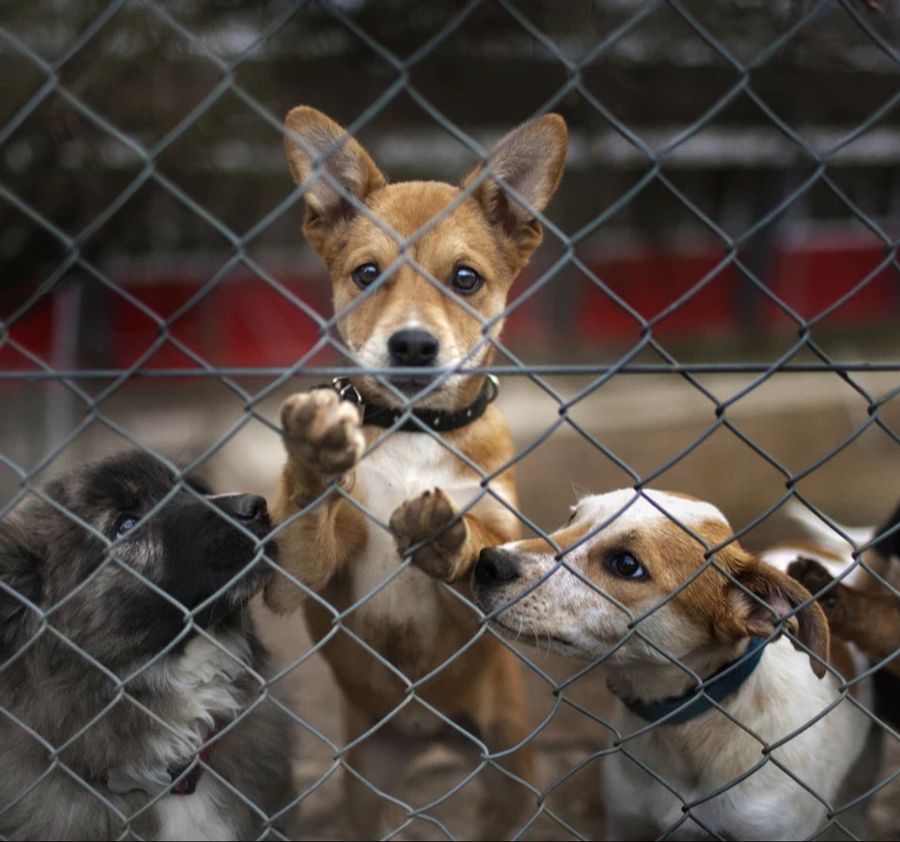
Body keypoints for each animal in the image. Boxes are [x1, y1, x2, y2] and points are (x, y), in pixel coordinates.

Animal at [264, 105, 568, 832]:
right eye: (367, 274)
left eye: (465, 279)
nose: (411, 345)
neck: (411, 430)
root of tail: (428, 737)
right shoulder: (301, 577)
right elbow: (308, 515)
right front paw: (315, 453)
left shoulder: (484, 585)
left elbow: (473, 545)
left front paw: (439, 531)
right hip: (365, 783)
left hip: (510, 770)